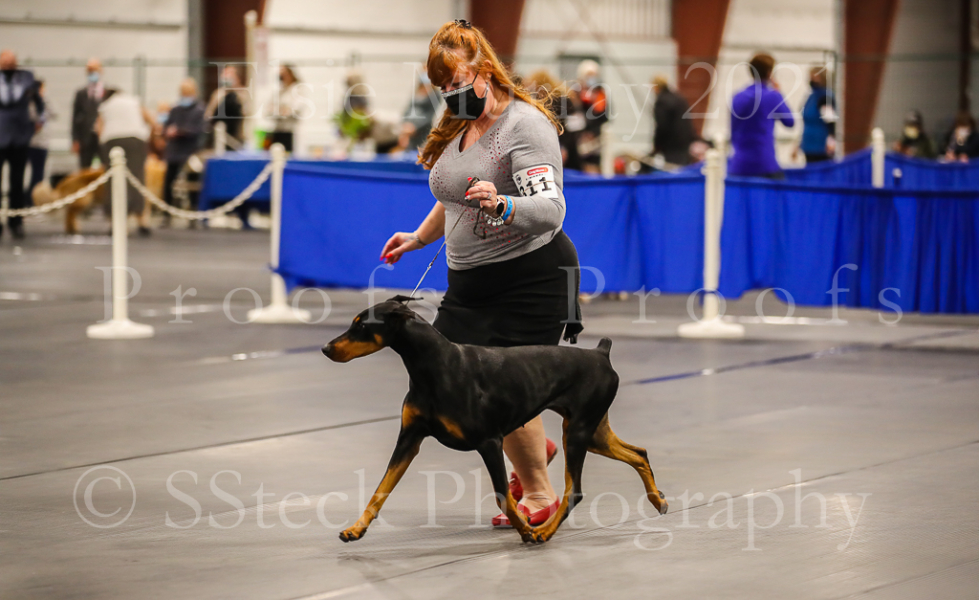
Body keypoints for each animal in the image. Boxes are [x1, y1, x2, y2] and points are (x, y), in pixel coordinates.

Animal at [323, 296, 668, 544]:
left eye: (361, 326)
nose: (325, 348)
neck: (433, 365)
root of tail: (600, 353)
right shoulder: (410, 437)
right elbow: (380, 489)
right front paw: (355, 529)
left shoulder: (489, 441)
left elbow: (503, 496)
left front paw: (525, 529)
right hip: (592, 431)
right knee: (639, 453)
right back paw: (658, 499)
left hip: (578, 432)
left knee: (576, 490)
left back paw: (543, 532)